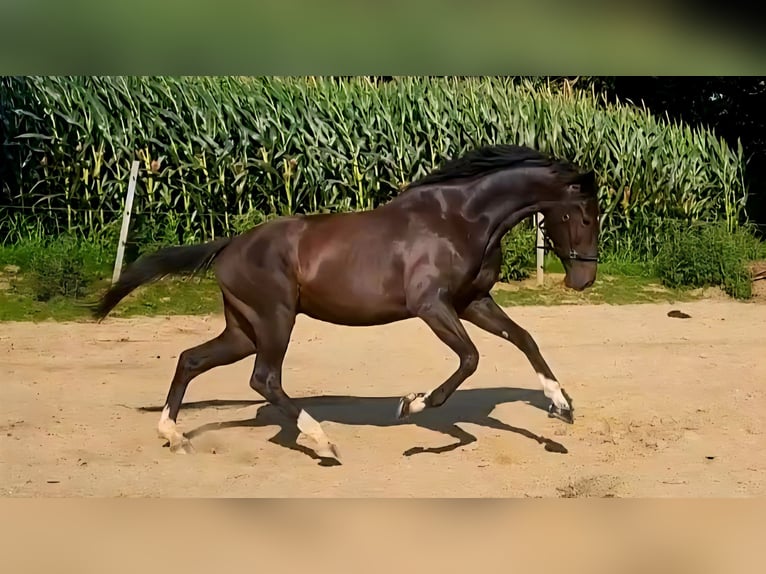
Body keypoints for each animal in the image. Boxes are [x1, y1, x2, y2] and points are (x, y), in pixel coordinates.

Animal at [90, 144, 601, 462]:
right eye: (583, 214)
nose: (584, 278)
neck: (459, 219)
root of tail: (231, 245)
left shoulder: (472, 301)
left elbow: (524, 338)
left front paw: (560, 406)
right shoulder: (430, 305)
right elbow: (471, 359)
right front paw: (411, 405)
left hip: (244, 328)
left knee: (191, 359)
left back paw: (173, 435)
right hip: (275, 320)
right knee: (263, 379)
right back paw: (322, 441)